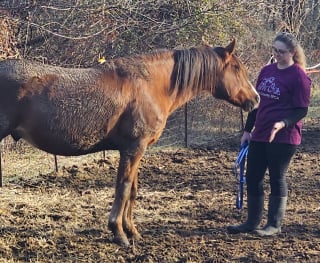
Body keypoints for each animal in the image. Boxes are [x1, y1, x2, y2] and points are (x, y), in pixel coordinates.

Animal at [0, 39, 260, 248]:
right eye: (237, 68)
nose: (256, 99)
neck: (150, 85)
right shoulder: (134, 148)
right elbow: (123, 189)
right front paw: (119, 233)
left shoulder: (136, 150)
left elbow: (132, 191)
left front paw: (132, 231)